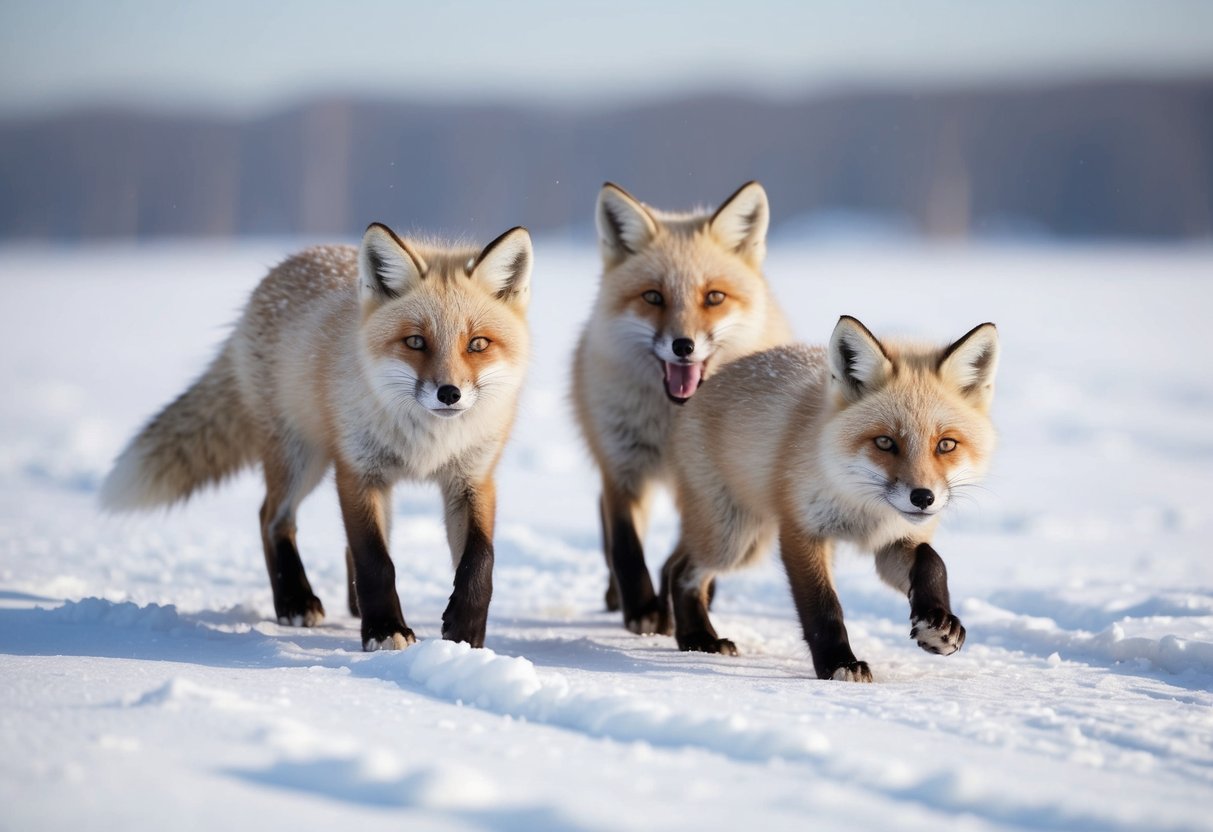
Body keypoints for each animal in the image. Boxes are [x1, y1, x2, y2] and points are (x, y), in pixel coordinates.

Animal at [99, 223, 533, 652]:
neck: (428, 442)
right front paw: (384, 629)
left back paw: (352, 606)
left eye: (477, 344)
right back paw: (295, 601)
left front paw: (464, 634)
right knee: (271, 518)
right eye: (415, 341)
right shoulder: (355, 472)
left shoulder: (472, 479)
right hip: (300, 458)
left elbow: (480, 560)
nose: (449, 393)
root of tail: (287, 264)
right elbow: (374, 560)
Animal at [572, 181, 793, 634]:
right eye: (653, 297)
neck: (673, 419)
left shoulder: (707, 480)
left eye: (714, 297)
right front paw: (642, 608)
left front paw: (677, 605)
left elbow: (684, 551)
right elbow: (625, 545)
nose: (683, 346)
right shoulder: (623, 466)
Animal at [659, 315, 999, 681]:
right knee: (680, 572)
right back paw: (697, 637)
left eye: (946, 445)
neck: (862, 508)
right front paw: (840, 663)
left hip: (745, 541)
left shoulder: (895, 542)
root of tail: (714, 377)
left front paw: (940, 623)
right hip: (733, 540)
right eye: (884, 442)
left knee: (676, 566)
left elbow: (933, 563)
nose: (923, 498)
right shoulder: (802, 532)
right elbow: (822, 606)